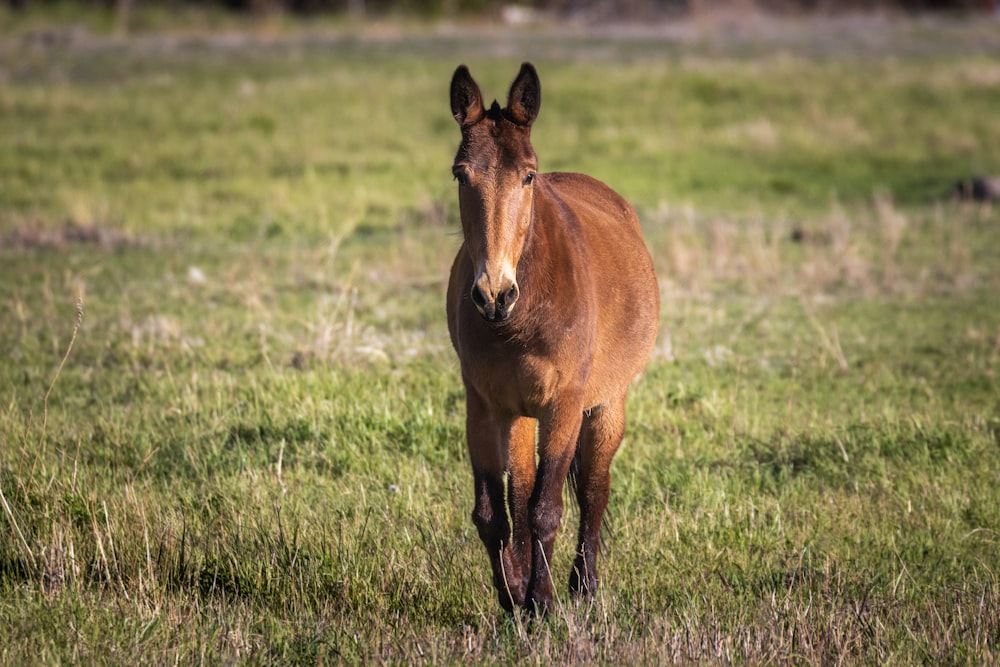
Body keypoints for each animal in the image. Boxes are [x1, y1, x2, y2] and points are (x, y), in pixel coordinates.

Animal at [450, 64, 660, 616]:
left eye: (527, 174)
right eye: (460, 173)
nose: (493, 293)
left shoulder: (564, 405)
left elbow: (548, 506)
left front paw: (542, 603)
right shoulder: (483, 407)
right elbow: (495, 513)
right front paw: (513, 599)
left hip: (606, 403)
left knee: (593, 490)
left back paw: (582, 585)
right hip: (521, 414)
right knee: (521, 494)